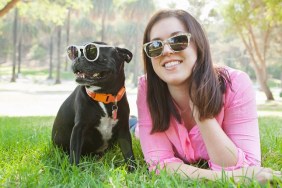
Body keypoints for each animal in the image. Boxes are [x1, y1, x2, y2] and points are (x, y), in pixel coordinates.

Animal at [52, 41, 135, 170]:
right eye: (74, 53)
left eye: (92, 52)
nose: (77, 58)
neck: (104, 96)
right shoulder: (79, 128)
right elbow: (75, 153)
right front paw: (74, 171)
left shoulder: (123, 130)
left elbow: (129, 154)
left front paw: (134, 170)